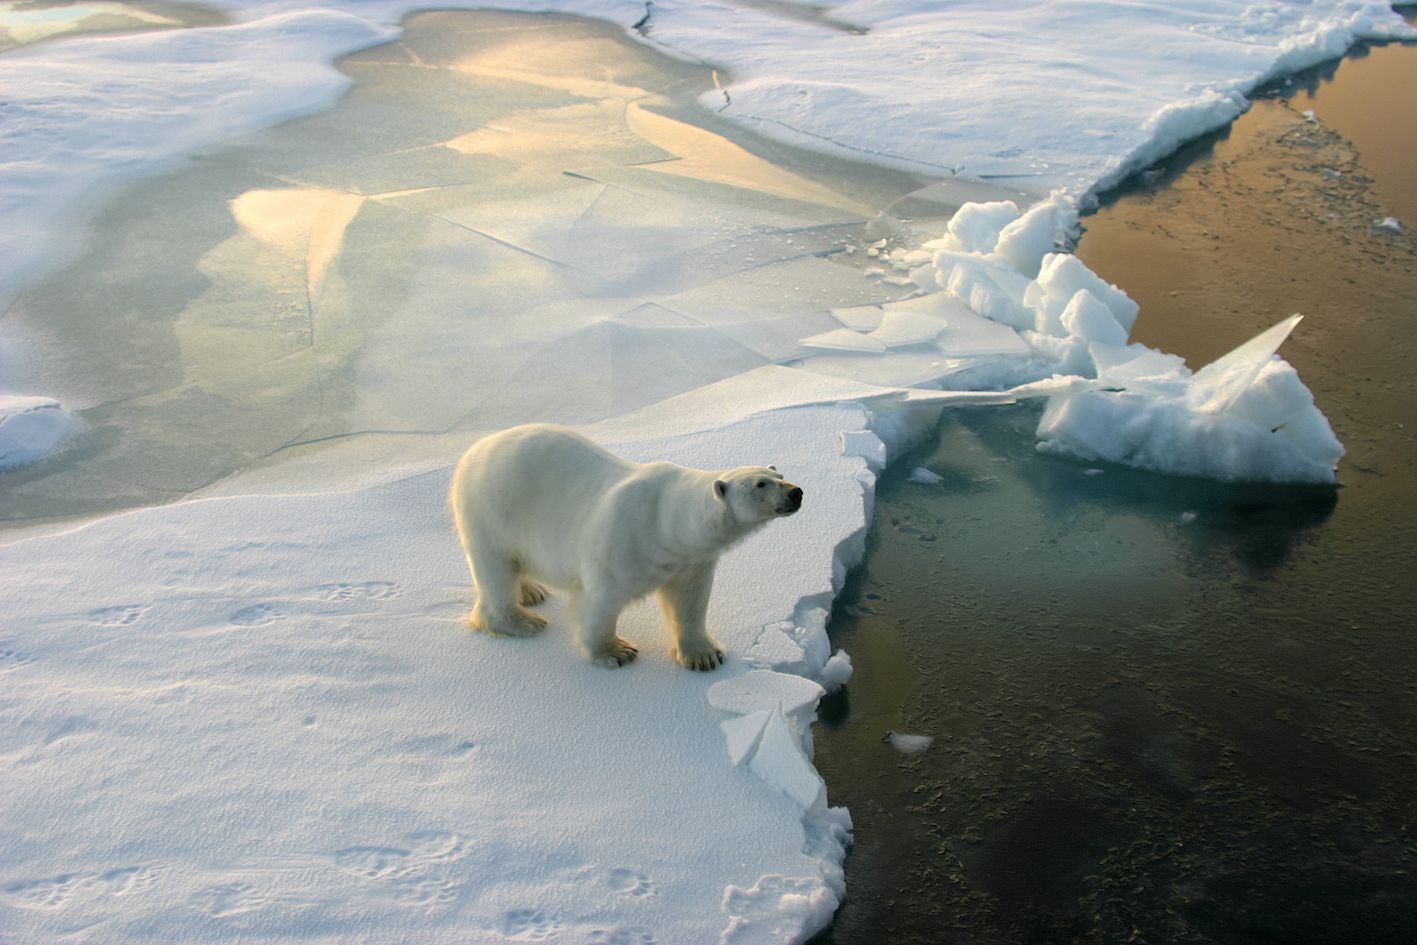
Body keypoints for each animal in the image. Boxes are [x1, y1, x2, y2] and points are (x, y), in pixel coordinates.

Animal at [453, 425, 810, 668]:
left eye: (779, 475)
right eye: (760, 484)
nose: (796, 492)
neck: (665, 521)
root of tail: (474, 450)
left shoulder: (690, 560)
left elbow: (690, 601)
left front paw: (704, 656)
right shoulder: (621, 545)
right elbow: (600, 602)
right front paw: (616, 652)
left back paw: (531, 591)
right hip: (493, 510)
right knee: (495, 569)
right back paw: (523, 621)